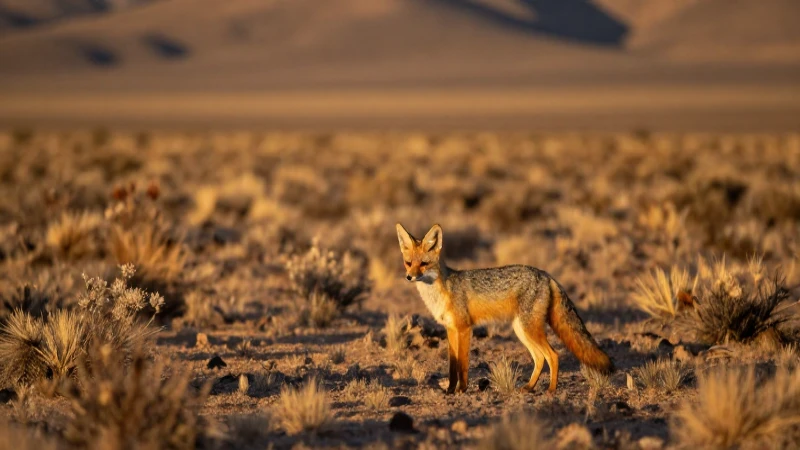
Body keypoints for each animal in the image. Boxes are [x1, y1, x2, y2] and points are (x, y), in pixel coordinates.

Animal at [396, 223, 613, 394]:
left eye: (424, 264)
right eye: (408, 263)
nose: (409, 277)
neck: (441, 291)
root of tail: (545, 274)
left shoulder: (464, 328)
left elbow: (463, 365)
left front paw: (461, 390)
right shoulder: (450, 329)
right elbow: (452, 365)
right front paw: (449, 390)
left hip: (529, 329)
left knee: (553, 355)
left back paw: (551, 390)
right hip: (521, 330)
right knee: (540, 358)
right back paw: (529, 387)